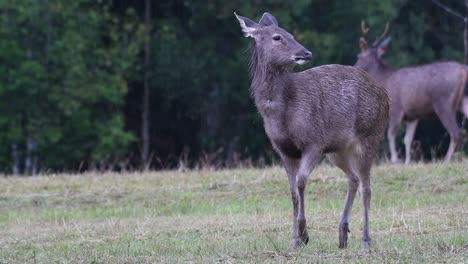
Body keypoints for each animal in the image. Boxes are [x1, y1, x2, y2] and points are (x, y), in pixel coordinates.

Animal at [236, 12, 390, 251]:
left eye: (291, 33)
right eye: (277, 37)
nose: (306, 53)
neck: (280, 113)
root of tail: (386, 96)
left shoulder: (314, 141)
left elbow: (301, 182)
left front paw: (304, 234)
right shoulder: (283, 149)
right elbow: (292, 192)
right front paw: (295, 240)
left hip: (370, 135)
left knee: (367, 187)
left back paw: (366, 240)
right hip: (338, 149)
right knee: (354, 179)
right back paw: (342, 235)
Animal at [354, 21, 468, 164]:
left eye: (359, 56)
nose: (353, 66)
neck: (384, 79)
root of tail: (464, 70)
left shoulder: (396, 109)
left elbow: (391, 134)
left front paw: (395, 159)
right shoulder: (412, 115)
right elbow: (407, 139)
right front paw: (407, 161)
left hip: (444, 102)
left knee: (456, 132)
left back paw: (446, 160)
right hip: (463, 100)